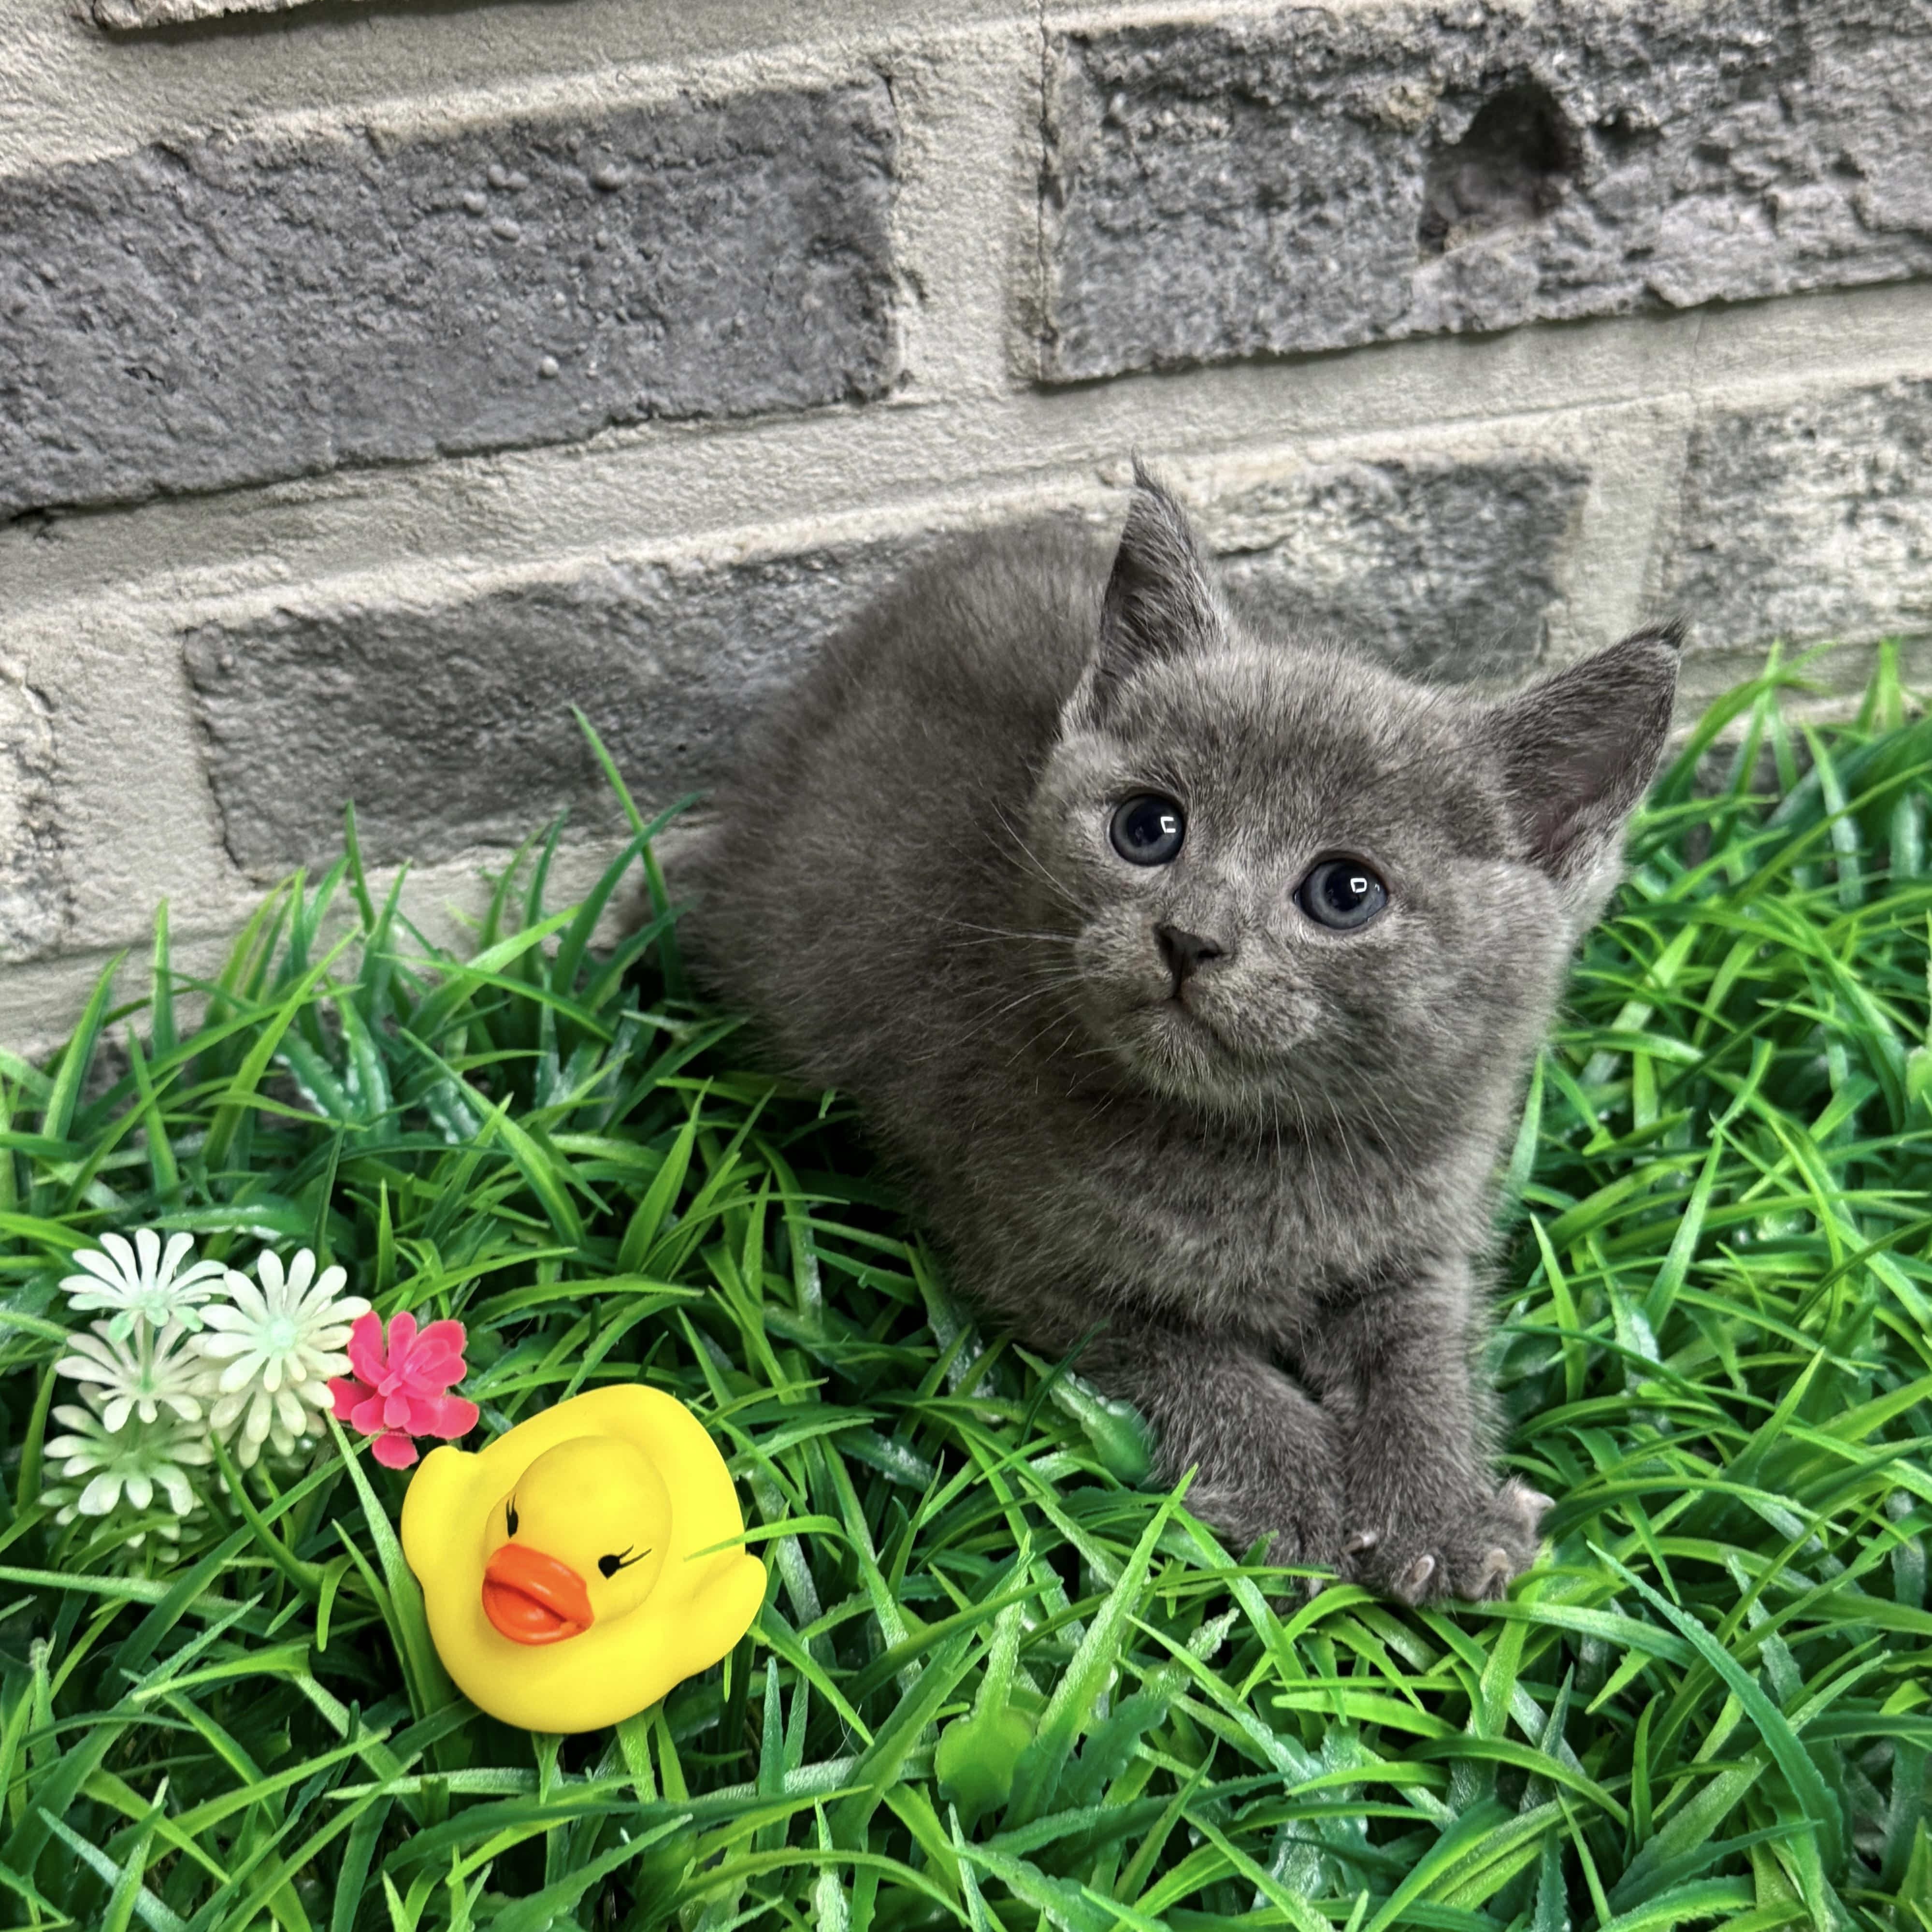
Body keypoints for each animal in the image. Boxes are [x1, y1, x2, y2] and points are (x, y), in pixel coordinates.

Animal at [683, 466, 1679, 1602]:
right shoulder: (1021, 1246)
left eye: (1346, 892)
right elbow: (1192, 1359)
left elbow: (1422, 1353)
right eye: (1147, 828)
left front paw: (1442, 1507)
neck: (1263, 1151)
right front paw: (1298, 1493)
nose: (1189, 936)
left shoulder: (1429, 1233)